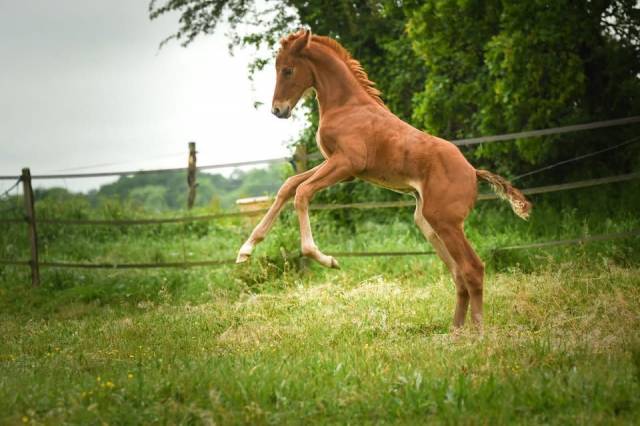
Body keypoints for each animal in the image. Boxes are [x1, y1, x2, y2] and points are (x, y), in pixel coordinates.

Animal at [236, 29, 531, 329]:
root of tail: (472, 172)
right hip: (428, 223)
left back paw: (477, 332)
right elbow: (289, 186)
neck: (346, 106)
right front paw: (245, 251)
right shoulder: (338, 166)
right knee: (459, 274)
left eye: (287, 70)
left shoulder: (346, 163)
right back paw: (456, 331)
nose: (278, 110)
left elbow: (303, 192)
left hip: (447, 223)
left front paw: (327, 259)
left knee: (473, 268)